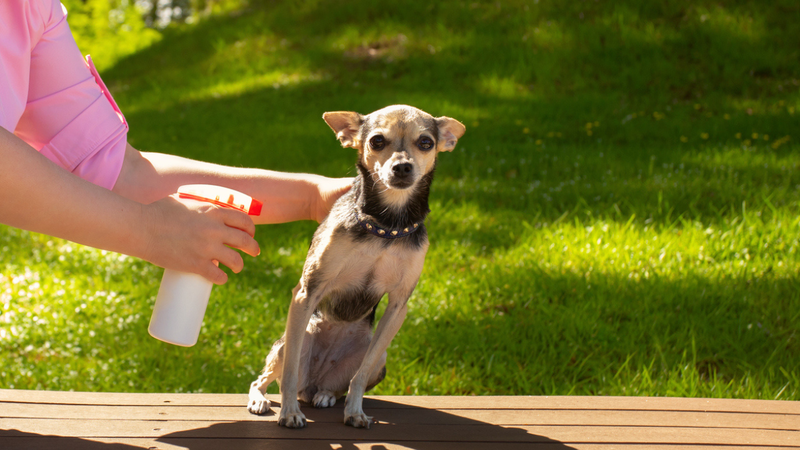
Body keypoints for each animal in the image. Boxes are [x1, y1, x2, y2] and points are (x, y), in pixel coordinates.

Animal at [247, 103, 466, 428]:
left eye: (426, 142)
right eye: (377, 141)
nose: (402, 167)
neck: (387, 226)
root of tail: (311, 384)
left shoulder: (398, 306)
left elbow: (359, 377)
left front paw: (355, 411)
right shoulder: (306, 292)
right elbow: (288, 374)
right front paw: (289, 413)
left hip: (381, 360)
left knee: (337, 383)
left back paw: (326, 395)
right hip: (293, 338)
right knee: (267, 378)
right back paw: (263, 399)